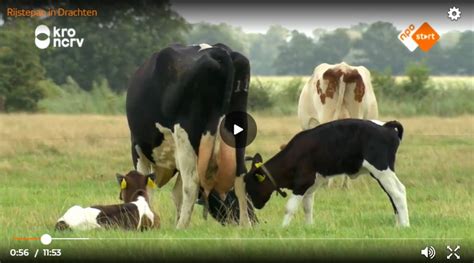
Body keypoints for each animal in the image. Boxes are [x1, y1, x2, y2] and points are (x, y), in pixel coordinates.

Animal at [125, 43, 252, 229]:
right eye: (230, 199)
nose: (257, 220)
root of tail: (218, 50)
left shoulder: (138, 147)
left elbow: (145, 187)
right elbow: (176, 193)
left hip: (185, 137)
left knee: (191, 184)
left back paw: (181, 227)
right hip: (238, 131)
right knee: (240, 177)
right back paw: (245, 225)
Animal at [243, 119, 410, 229]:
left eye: (250, 186)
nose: (255, 207)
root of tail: (386, 127)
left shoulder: (302, 183)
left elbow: (290, 207)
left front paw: (283, 228)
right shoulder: (312, 184)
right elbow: (307, 206)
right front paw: (309, 227)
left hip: (381, 169)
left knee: (397, 193)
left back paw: (405, 225)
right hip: (382, 173)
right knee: (393, 193)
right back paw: (398, 225)